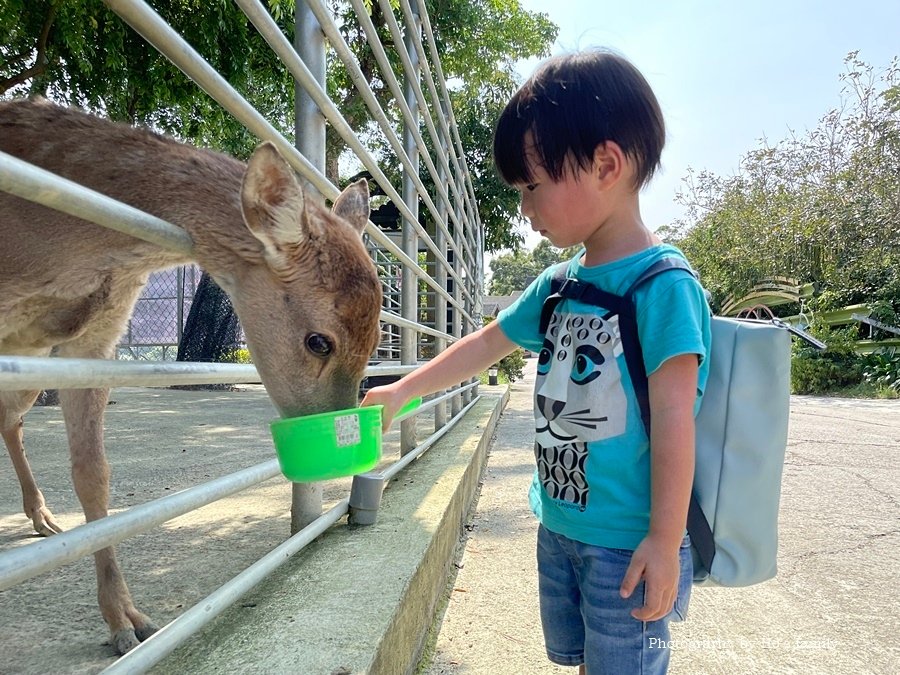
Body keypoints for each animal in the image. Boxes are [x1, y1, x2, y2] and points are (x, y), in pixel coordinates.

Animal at [0, 99, 384, 656]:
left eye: (377, 340)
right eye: (319, 341)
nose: (339, 453)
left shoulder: (95, 335)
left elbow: (94, 474)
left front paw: (127, 621)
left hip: (30, 361)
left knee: (10, 420)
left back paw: (43, 517)